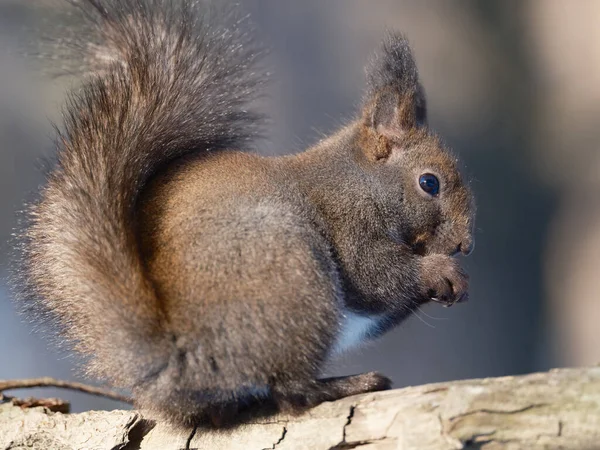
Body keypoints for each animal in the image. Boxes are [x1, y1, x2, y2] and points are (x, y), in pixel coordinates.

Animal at [14, 0, 474, 426]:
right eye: (429, 183)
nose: (464, 245)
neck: (358, 179)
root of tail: (184, 362)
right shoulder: (348, 221)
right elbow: (372, 277)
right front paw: (440, 271)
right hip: (294, 279)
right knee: (293, 392)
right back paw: (345, 384)